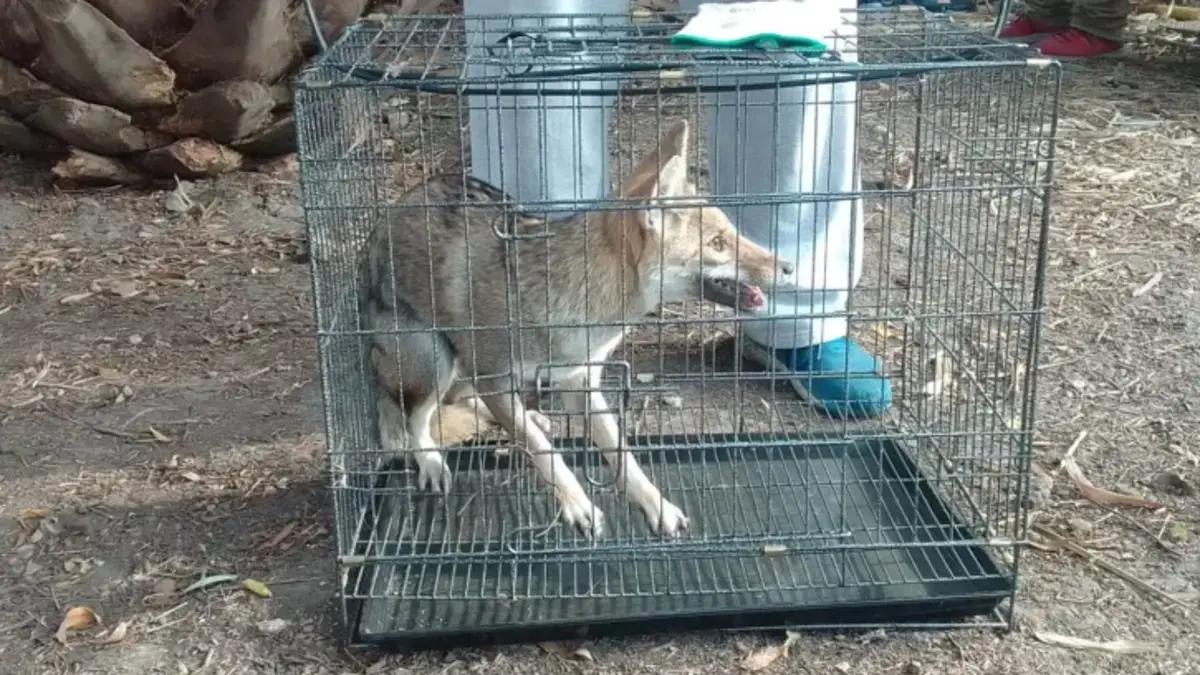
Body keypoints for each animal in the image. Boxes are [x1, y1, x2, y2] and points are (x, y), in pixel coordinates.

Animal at [363, 119, 795, 539]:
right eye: (718, 243)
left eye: (732, 233)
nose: (789, 267)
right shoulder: (494, 376)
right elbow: (544, 451)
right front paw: (577, 505)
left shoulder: (579, 380)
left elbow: (621, 455)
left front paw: (656, 506)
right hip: (435, 360)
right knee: (416, 420)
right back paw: (432, 461)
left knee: (464, 404)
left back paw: (525, 416)